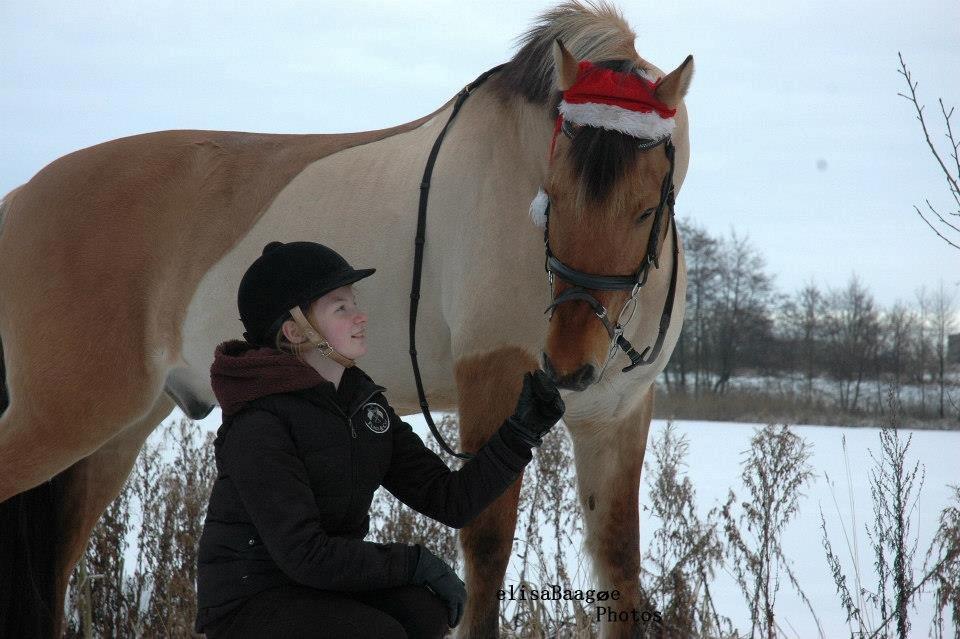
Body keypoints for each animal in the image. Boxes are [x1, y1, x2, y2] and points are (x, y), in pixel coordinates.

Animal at [0, 2, 688, 636]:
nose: (569, 364)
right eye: (551, 196)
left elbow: (620, 564)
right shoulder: (493, 380)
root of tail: (19, 199)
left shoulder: (616, 416)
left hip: (116, 435)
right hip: (64, 419)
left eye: (645, 207)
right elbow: (488, 551)